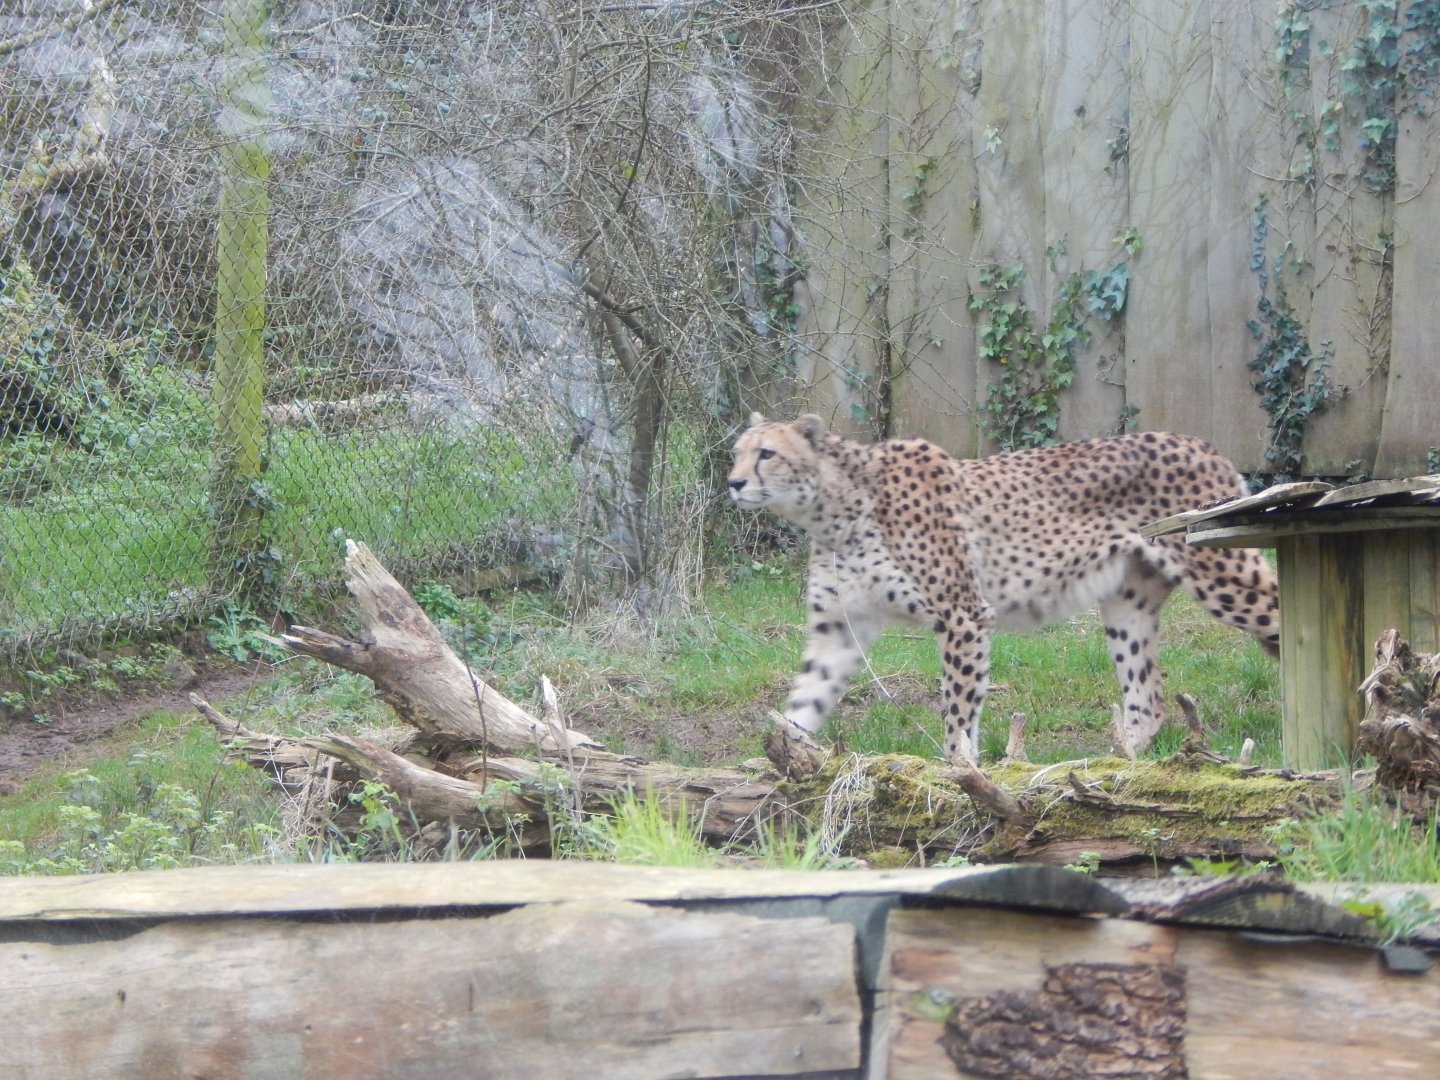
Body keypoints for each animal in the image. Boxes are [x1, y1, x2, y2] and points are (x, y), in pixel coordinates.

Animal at [727, 413, 1279, 762]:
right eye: (737, 453)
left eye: (767, 453)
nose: (733, 482)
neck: (832, 508)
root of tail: (1200, 442)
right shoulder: (839, 629)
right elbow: (804, 702)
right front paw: (776, 766)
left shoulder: (962, 614)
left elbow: (958, 709)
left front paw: (959, 770)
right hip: (1129, 603)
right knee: (1147, 699)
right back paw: (1109, 766)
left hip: (1223, 575)